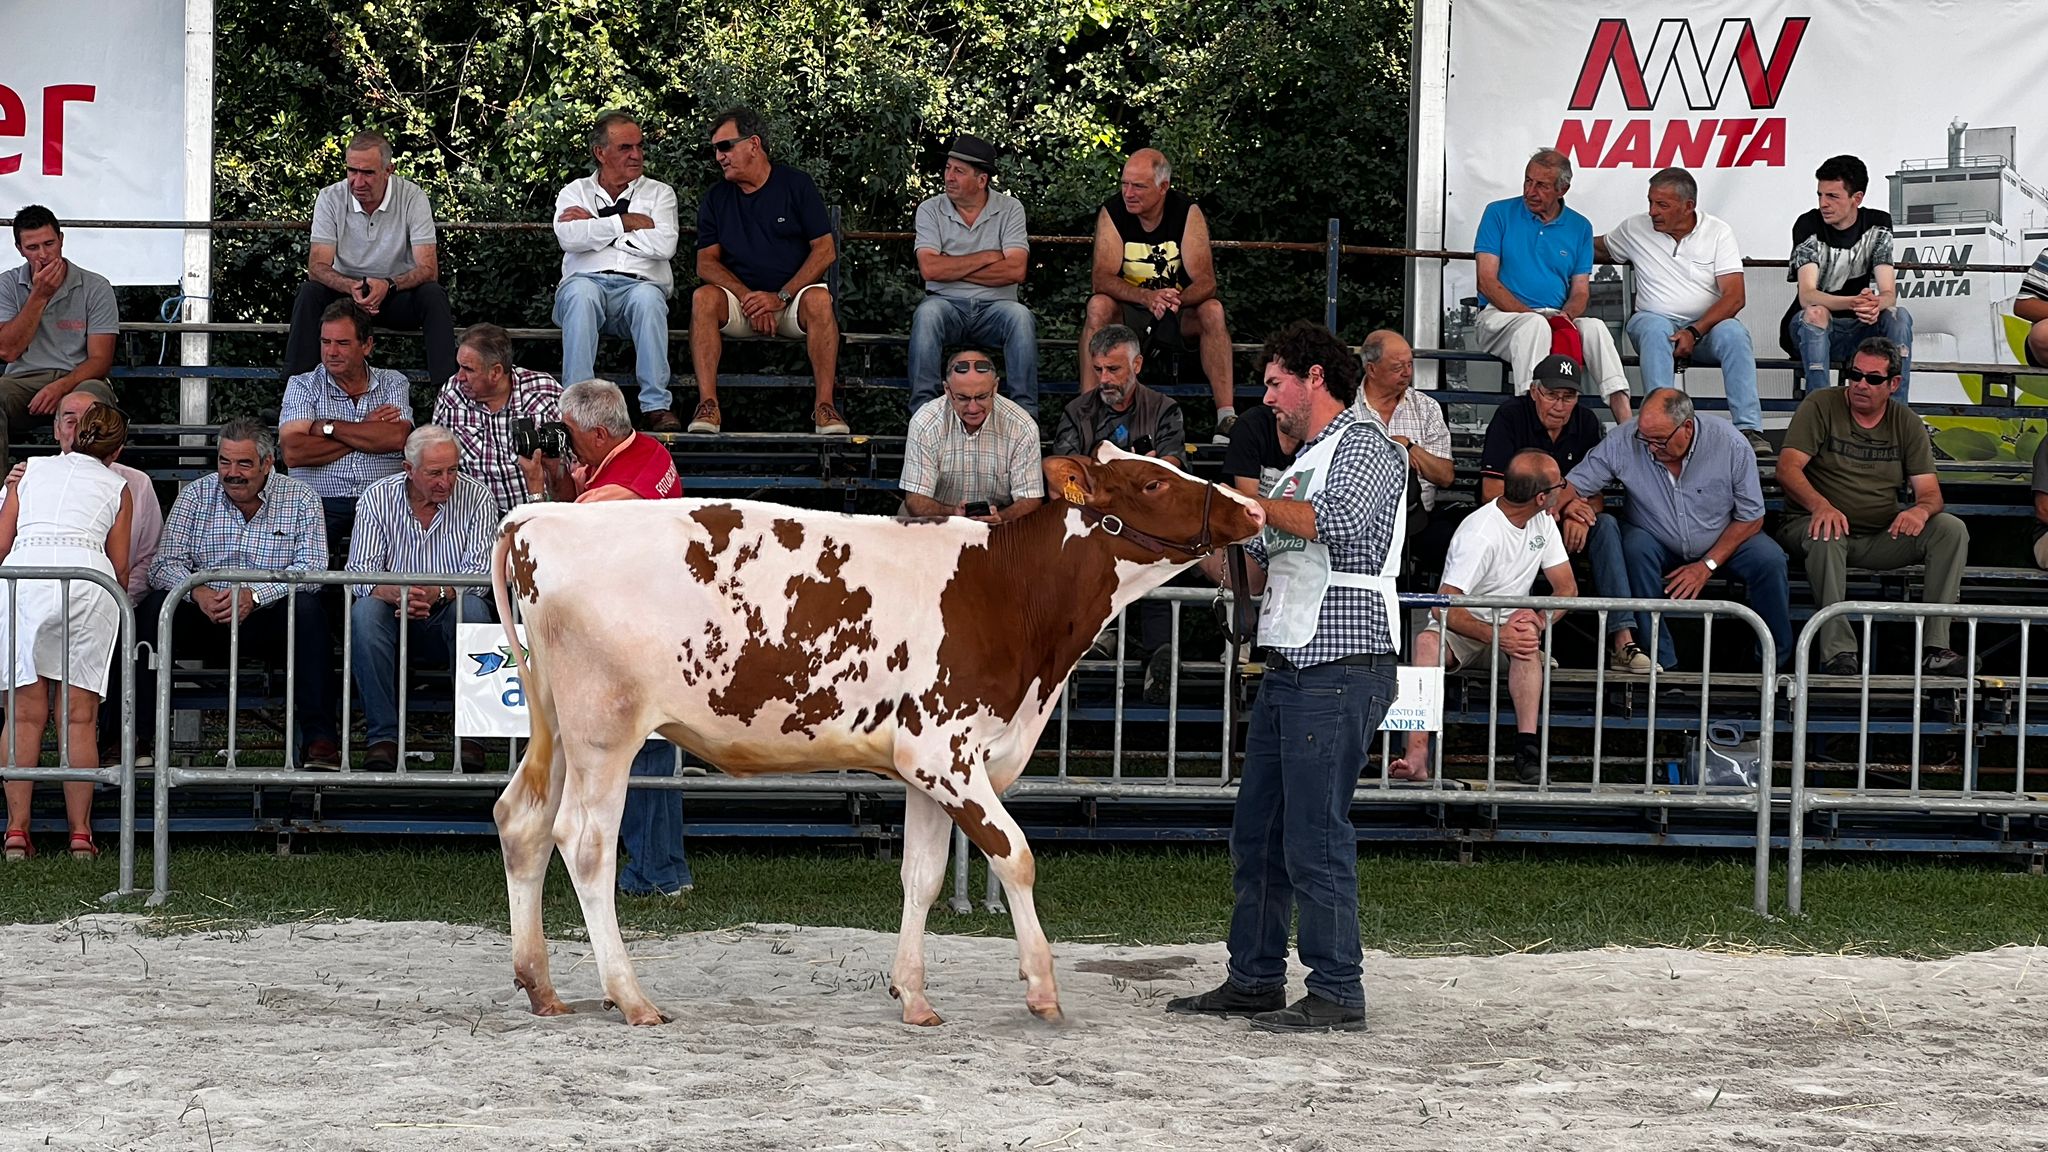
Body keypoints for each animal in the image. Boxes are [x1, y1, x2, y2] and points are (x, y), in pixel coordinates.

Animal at [491, 440, 1261, 1020]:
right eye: (1151, 482)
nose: (1251, 507)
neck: (1008, 593)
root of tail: (537, 519)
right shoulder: (945, 752)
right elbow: (1015, 855)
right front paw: (1042, 987)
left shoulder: (926, 766)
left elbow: (921, 875)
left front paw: (913, 995)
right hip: (604, 730)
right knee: (584, 844)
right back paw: (631, 997)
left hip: (555, 723)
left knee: (521, 821)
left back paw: (540, 985)